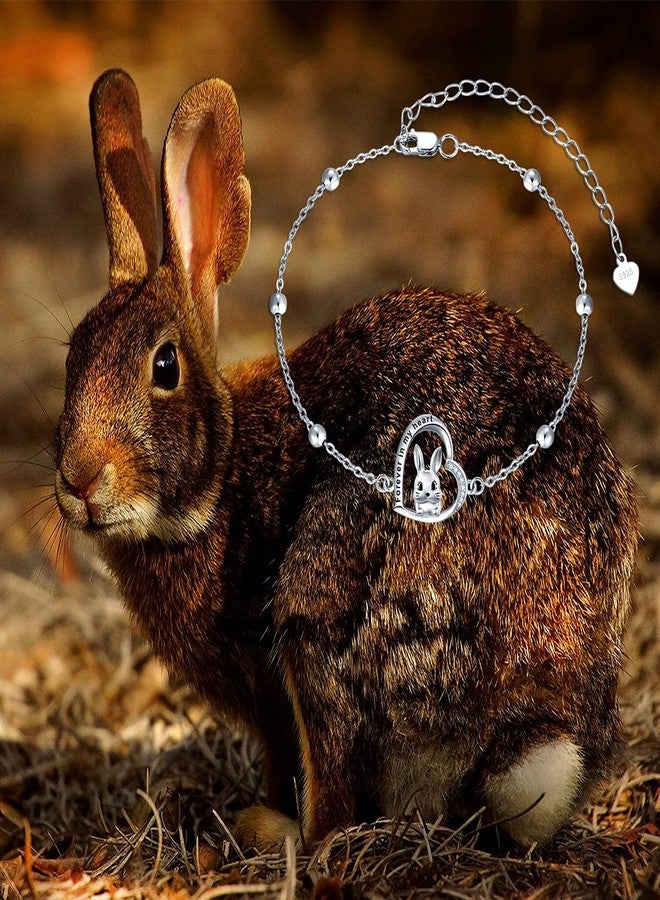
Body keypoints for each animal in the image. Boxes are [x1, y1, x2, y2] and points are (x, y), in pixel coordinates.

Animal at [54, 69, 637, 851]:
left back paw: (267, 829)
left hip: (321, 603)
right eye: (73, 357)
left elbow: (288, 757)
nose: (78, 479)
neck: (220, 478)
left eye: (165, 366)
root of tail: (527, 704)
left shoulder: (271, 697)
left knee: (331, 807)